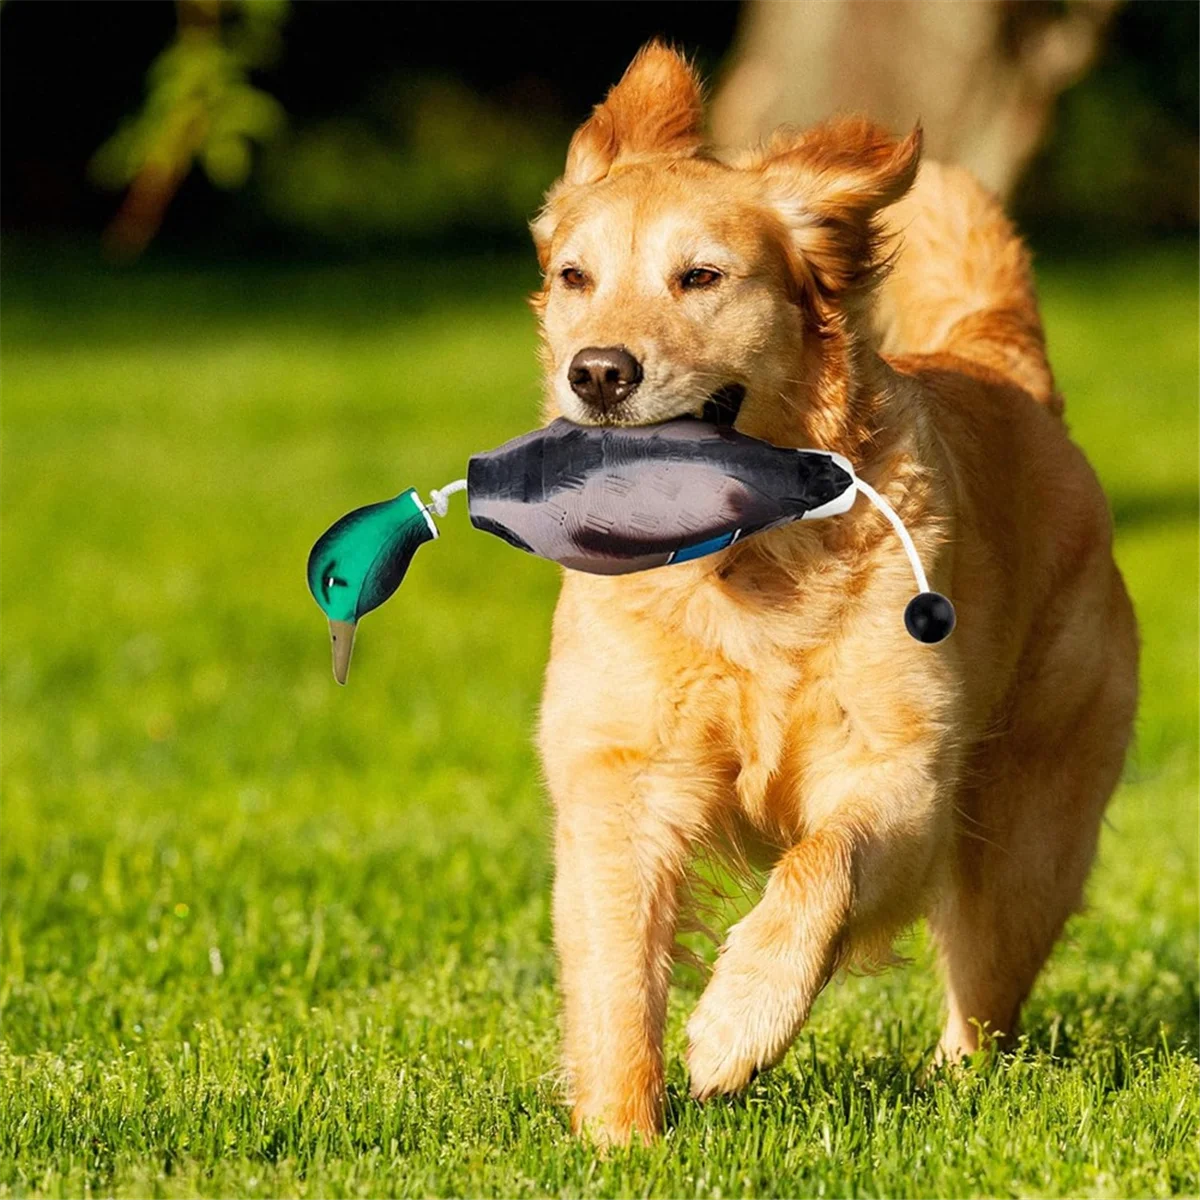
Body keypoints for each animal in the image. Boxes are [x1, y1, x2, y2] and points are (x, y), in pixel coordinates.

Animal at [532, 39, 1132, 1142]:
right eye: (573, 276)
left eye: (701, 277)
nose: (596, 372)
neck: (741, 564)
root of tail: (1003, 365)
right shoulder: (620, 779)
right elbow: (616, 981)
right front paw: (620, 1140)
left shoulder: (902, 774)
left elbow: (822, 866)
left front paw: (736, 1024)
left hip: (1028, 833)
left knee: (984, 996)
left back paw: (956, 1088)